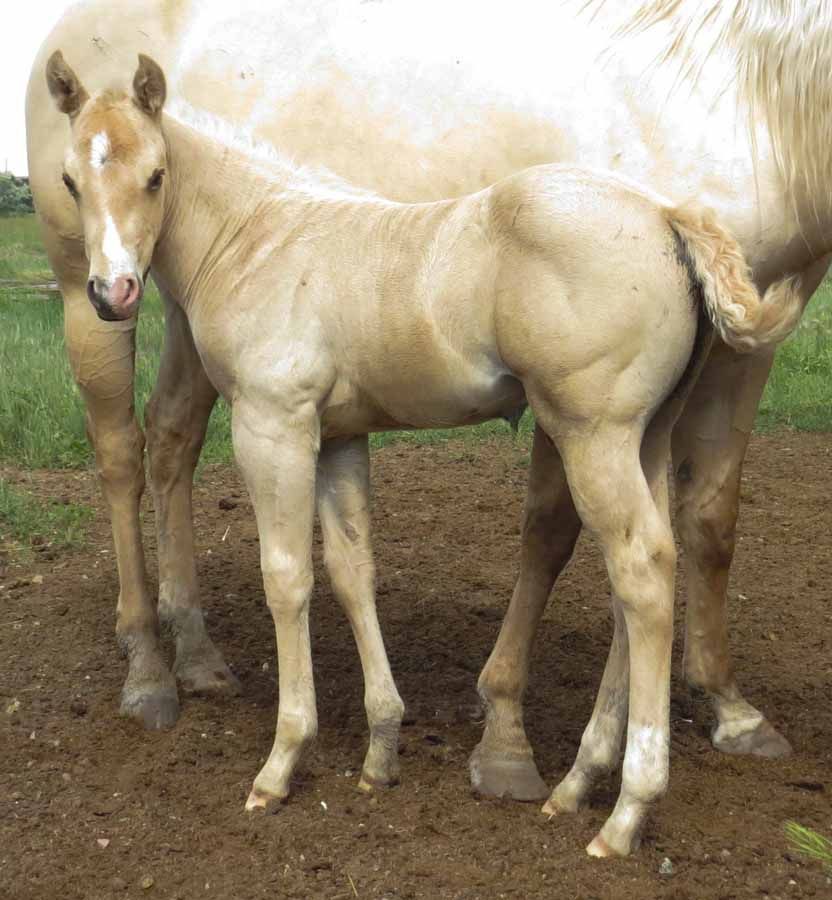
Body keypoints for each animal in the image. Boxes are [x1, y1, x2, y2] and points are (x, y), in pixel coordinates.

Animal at [26, 0, 830, 813]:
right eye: (70, 179)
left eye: (155, 176)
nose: (114, 291)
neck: (265, 234)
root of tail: (667, 213)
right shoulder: (338, 435)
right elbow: (352, 572)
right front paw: (381, 745)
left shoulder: (273, 427)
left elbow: (288, 577)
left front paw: (283, 760)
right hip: (642, 437)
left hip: (596, 435)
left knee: (641, 568)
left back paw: (621, 807)